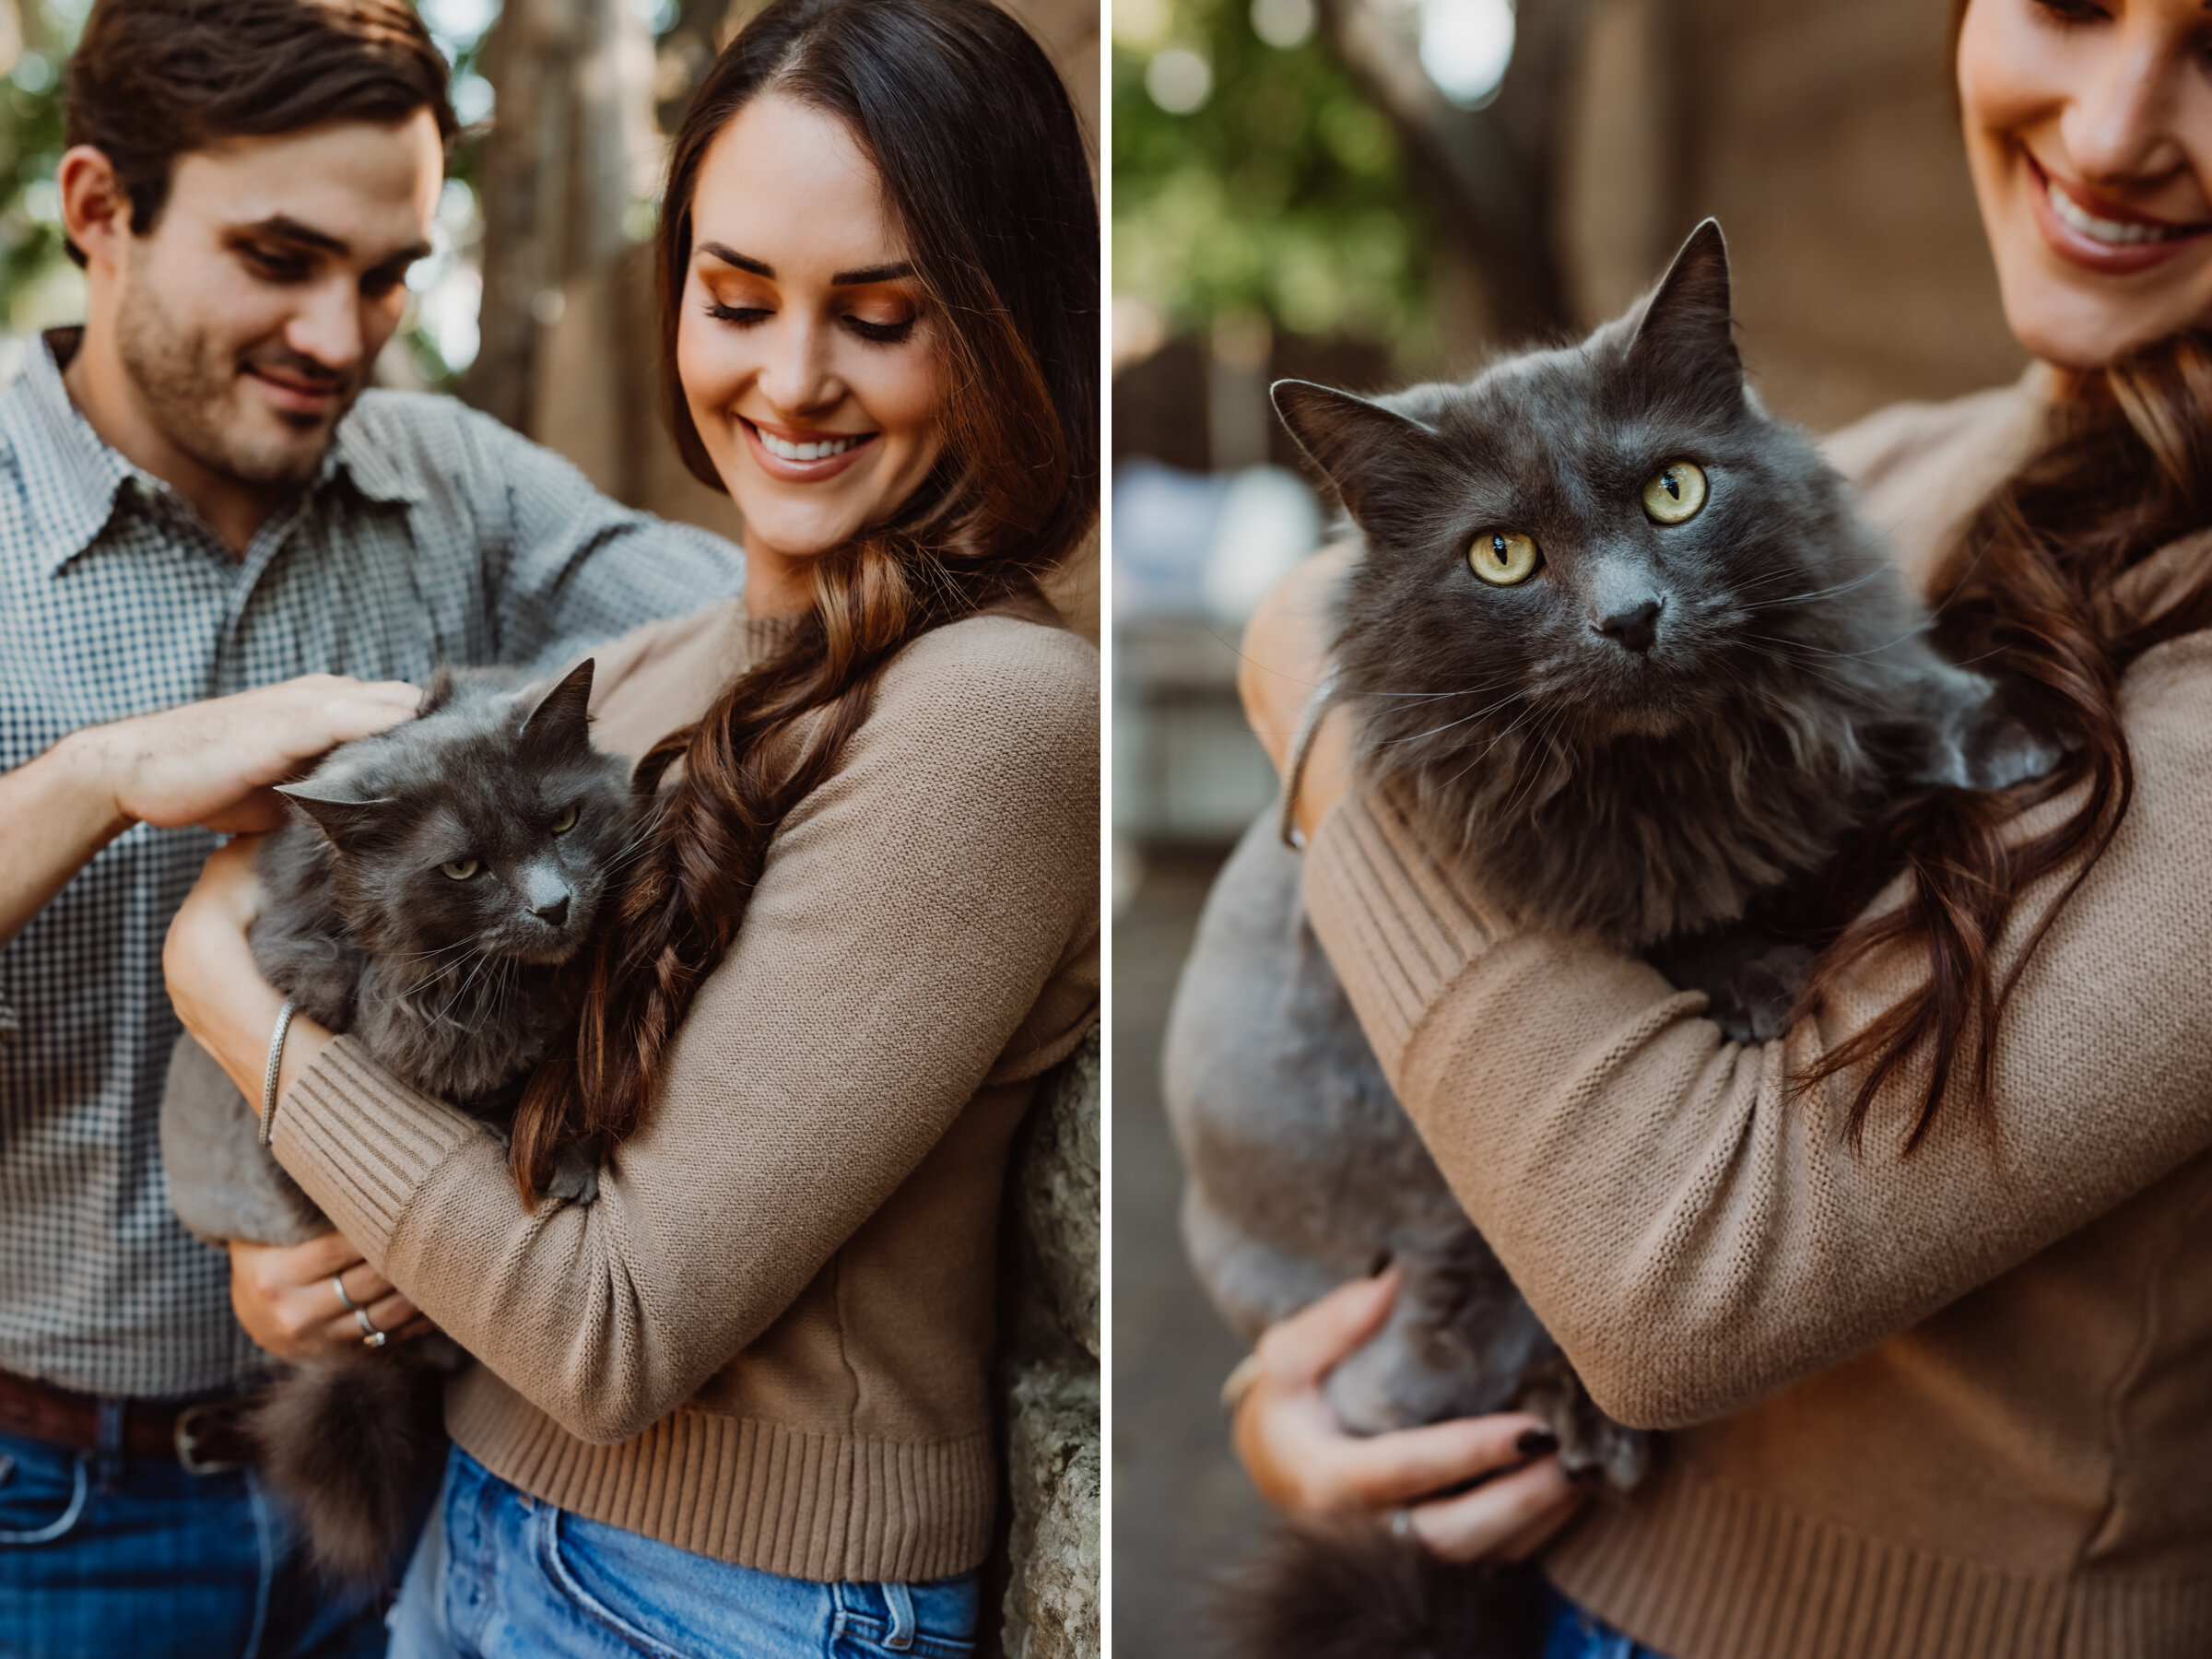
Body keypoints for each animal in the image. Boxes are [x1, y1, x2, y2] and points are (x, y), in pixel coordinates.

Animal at [158, 659, 632, 1583]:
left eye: (563, 819)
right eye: (463, 867)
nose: (555, 905)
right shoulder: (347, 996)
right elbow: (468, 1084)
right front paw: (559, 1159)